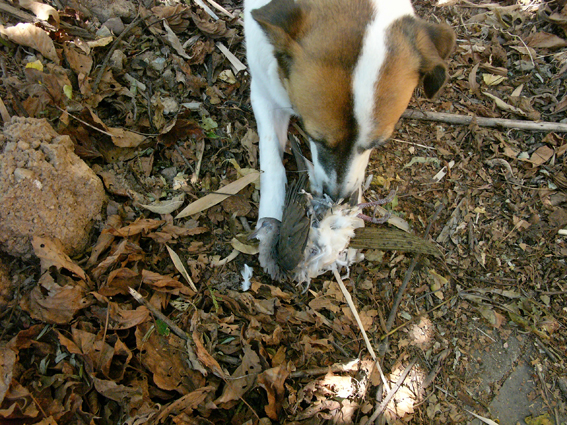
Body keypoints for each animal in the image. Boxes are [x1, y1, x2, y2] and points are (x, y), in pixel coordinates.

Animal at [245, 0, 455, 226]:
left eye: (377, 144)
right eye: (313, 136)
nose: (338, 198)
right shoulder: (262, 93)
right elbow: (271, 159)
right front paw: (270, 214)